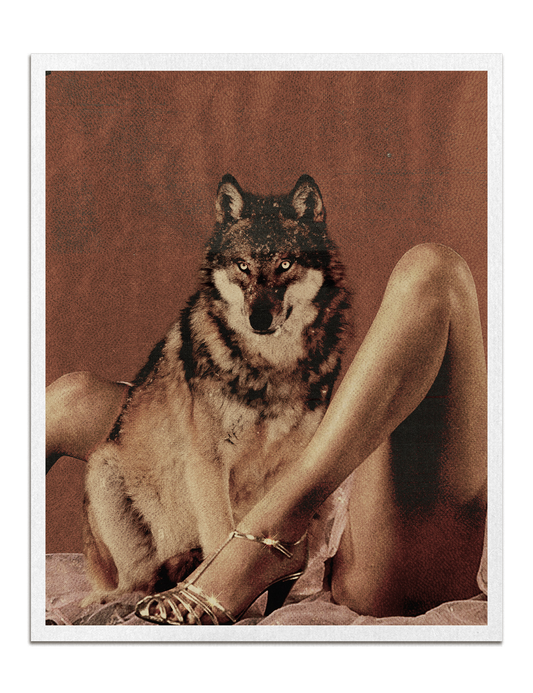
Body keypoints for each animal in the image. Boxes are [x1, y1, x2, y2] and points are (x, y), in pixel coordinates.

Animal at [82, 174, 350, 605]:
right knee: (135, 583)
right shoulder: (208, 461)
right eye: (242, 266)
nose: (259, 319)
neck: (271, 368)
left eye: (285, 264)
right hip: (102, 469)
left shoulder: (293, 462)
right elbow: (220, 536)